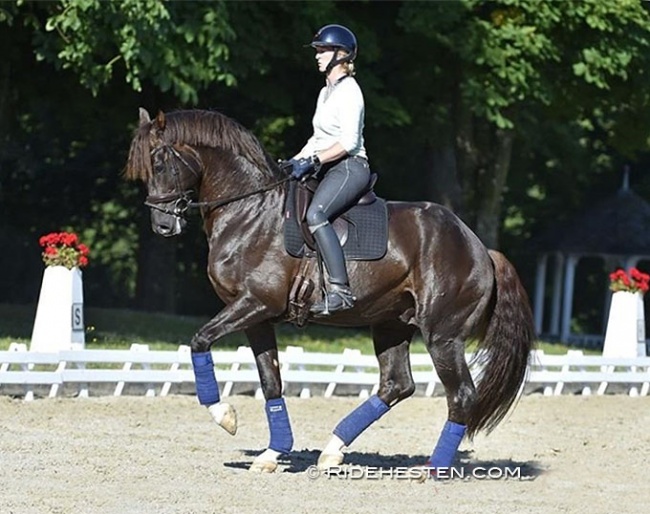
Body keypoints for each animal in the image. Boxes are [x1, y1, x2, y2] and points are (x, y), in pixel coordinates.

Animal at [125, 107, 532, 472]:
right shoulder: (256, 317)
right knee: (396, 385)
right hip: (392, 324)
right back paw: (332, 451)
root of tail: (479, 247)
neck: (249, 211)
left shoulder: (255, 304)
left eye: (159, 164)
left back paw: (434, 469)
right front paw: (272, 454)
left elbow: (199, 341)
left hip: (443, 336)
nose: (163, 226)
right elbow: (271, 381)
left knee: (460, 394)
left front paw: (224, 415)